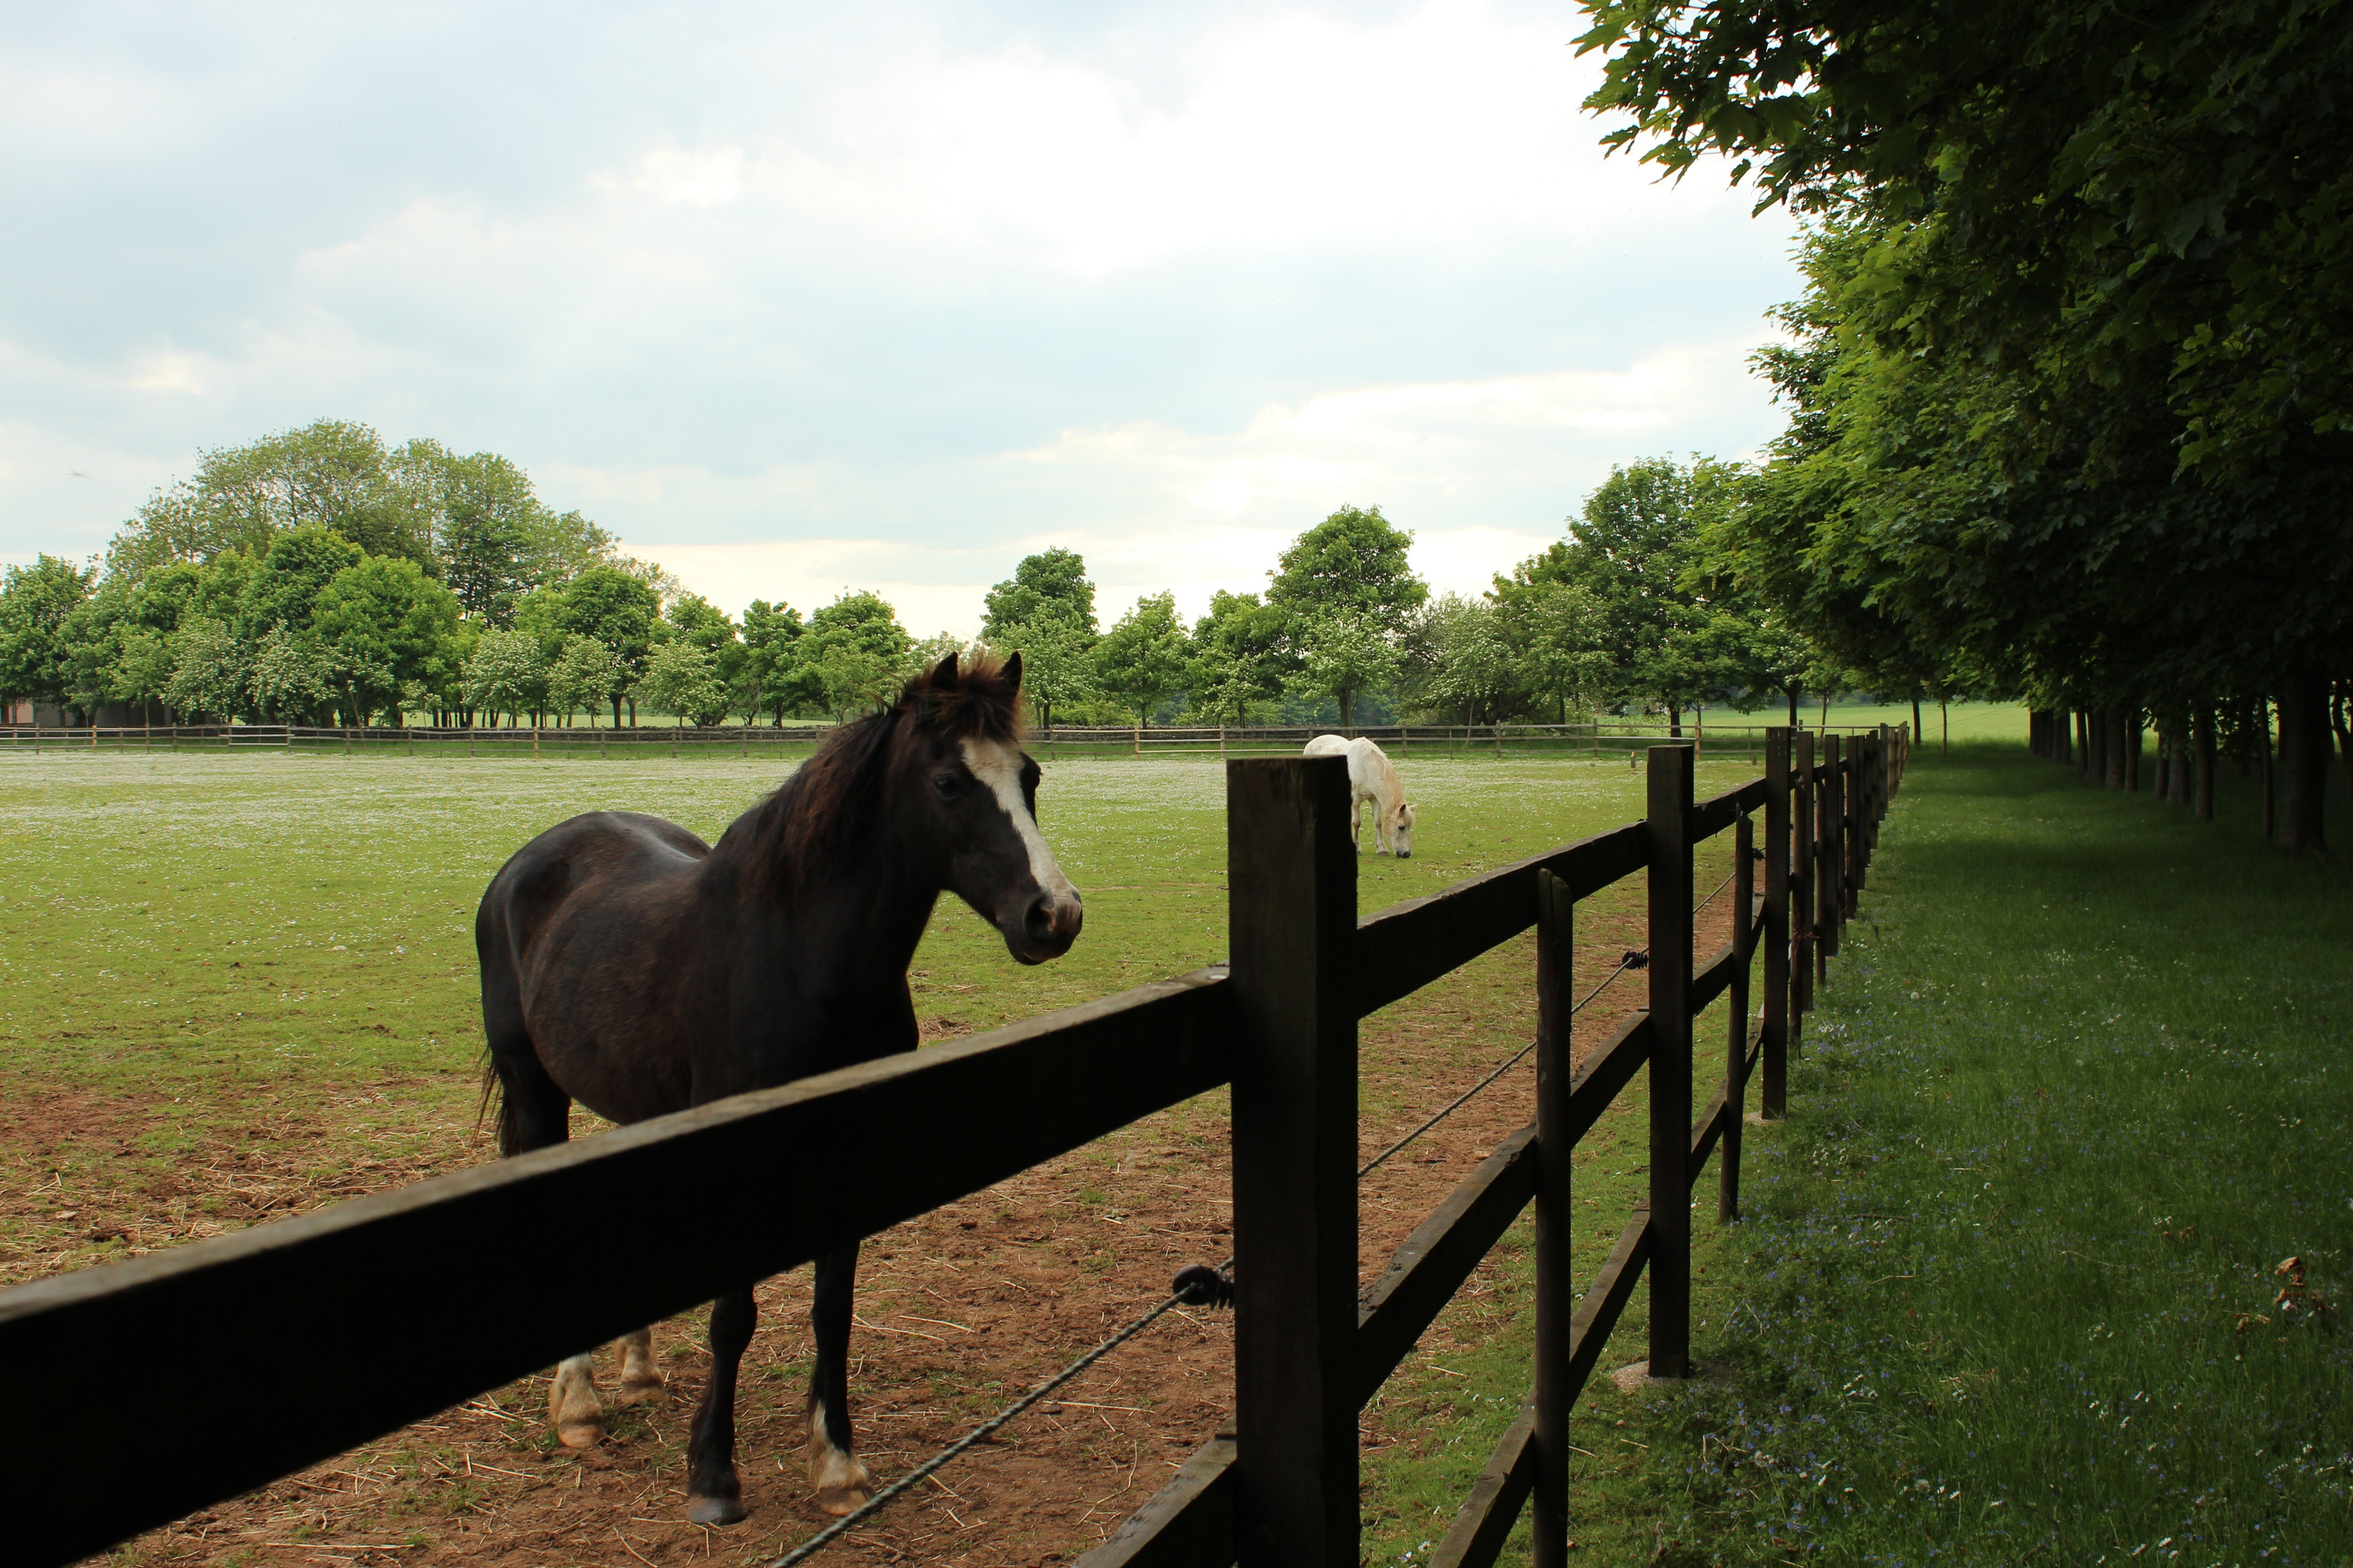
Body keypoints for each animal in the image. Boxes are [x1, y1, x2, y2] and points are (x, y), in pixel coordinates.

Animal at [477, 658, 1082, 1523]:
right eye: (947, 782)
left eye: (1028, 775)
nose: (1052, 915)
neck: (802, 958)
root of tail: (525, 867)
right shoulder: (746, 1154)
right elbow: (735, 1313)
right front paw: (712, 1475)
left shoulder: (849, 1149)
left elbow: (833, 1307)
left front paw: (836, 1462)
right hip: (537, 1095)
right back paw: (581, 1405)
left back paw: (636, 1371)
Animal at [1308, 738, 1412, 860]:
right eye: (1401, 827)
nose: (1406, 854)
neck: (1365, 767)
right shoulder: (1355, 800)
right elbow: (1356, 823)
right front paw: (1357, 849)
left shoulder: (1374, 799)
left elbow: (1377, 823)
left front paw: (1382, 849)